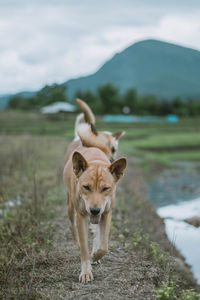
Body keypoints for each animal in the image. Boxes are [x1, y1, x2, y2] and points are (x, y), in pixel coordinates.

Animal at [63, 123, 126, 282]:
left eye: (106, 188)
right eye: (86, 187)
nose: (95, 210)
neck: (96, 161)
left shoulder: (107, 213)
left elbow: (104, 245)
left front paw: (96, 255)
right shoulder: (81, 216)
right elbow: (84, 249)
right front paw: (86, 271)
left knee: (97, 233)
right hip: (70, 206)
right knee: (72, 225)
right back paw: (76, 244)